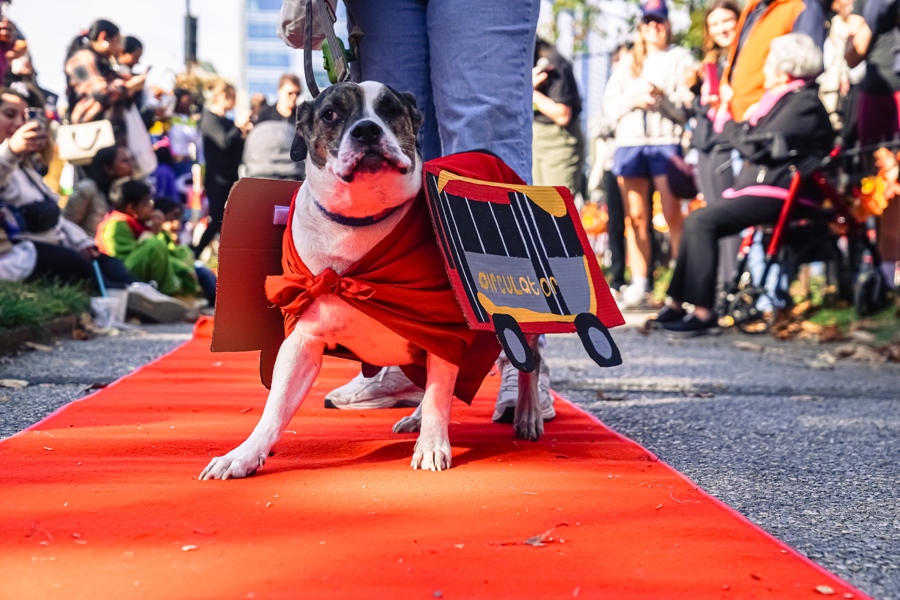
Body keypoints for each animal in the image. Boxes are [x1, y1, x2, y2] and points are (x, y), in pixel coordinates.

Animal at [200, 81, 544, 480]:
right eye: (330, 114)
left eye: (391, 110)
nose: (366, 130)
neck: (358, 221)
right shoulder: (303, 341)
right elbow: (276, 406)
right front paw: (244, 454)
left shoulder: (445, 333)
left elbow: (439, 394)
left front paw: (431, 446)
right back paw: (415, 418)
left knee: (528, 362)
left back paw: (527, 413)